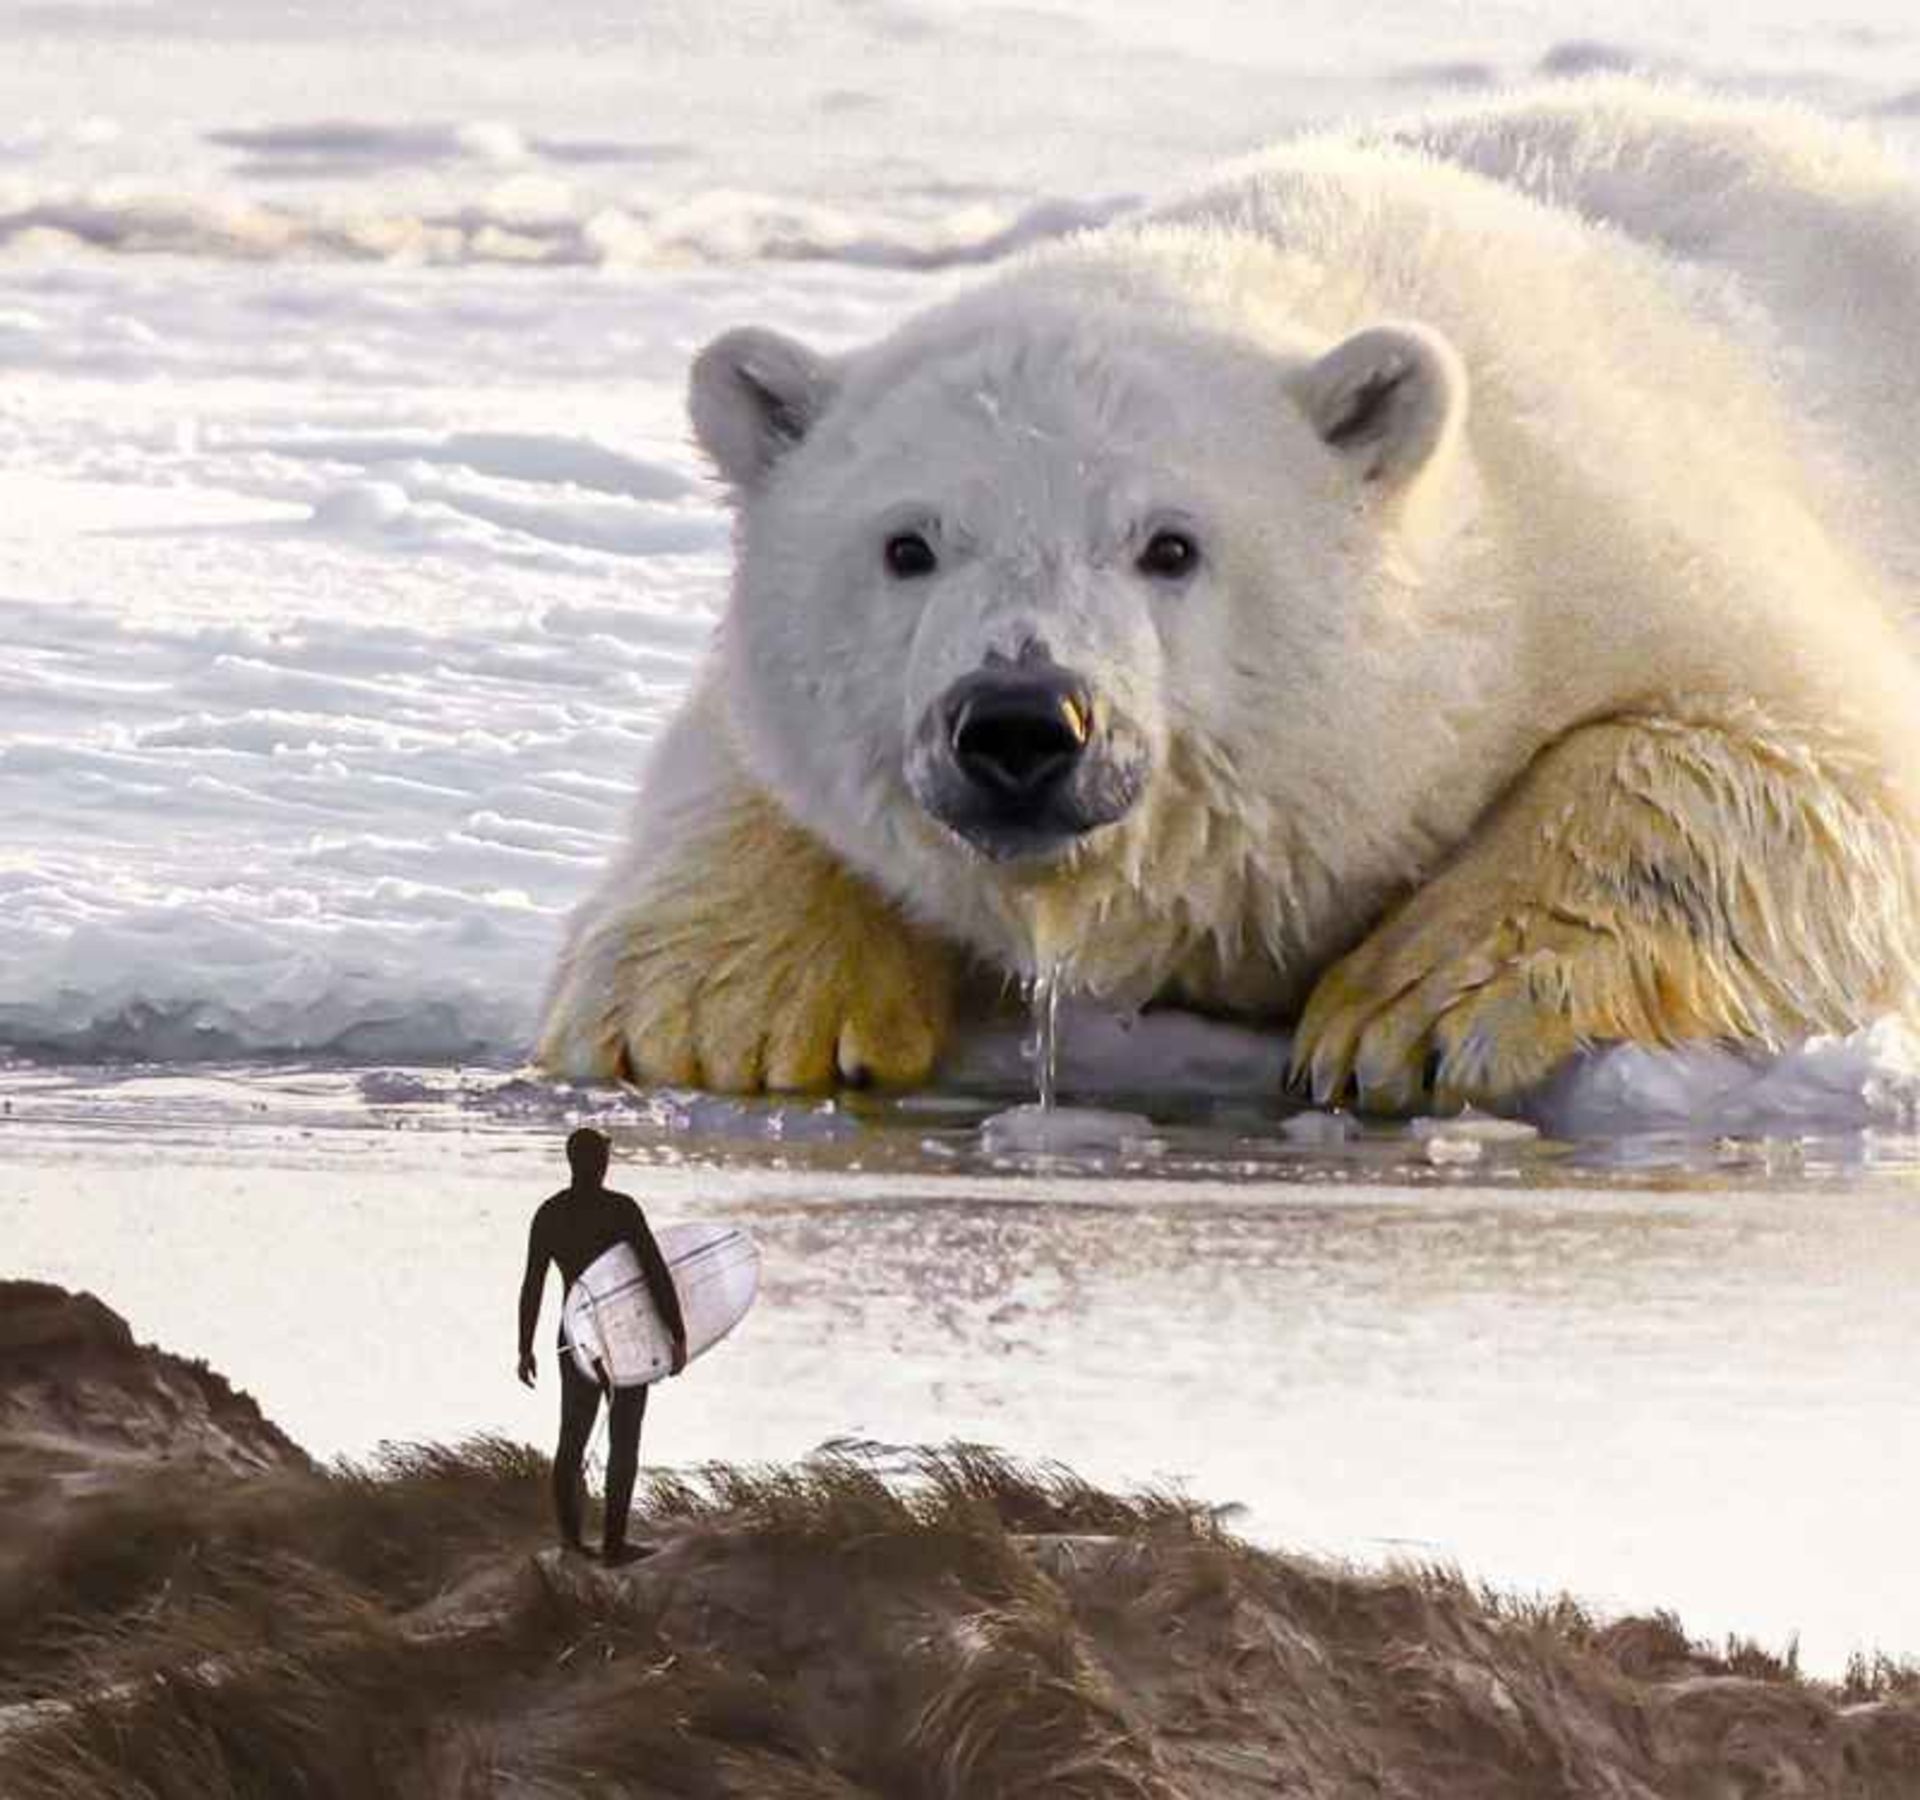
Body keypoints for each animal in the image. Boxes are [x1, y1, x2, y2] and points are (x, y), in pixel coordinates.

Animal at [538, 80, 1920, 1113]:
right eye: (909, 546)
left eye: (1170, 546)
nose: (1021, 723)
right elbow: (742, 760)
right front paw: (714, 1012)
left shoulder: (1642, 536)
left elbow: (1791, 768)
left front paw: (1422, 1007)